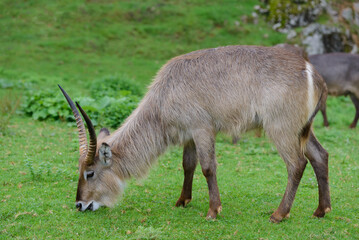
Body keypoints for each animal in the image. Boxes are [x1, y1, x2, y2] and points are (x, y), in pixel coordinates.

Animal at [58, 44, 332, 222]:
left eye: (90, 173)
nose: (80, 204)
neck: (164, 94)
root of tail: (312, 72)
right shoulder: (188, 133)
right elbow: (187, 165)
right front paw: (182, 201)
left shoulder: (202, 129)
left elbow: (208, 167)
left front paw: (213, 211)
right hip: (302, 129)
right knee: (321, 156)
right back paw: (322, 210)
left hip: (280, 128)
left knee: (297, 164)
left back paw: (279, 214)